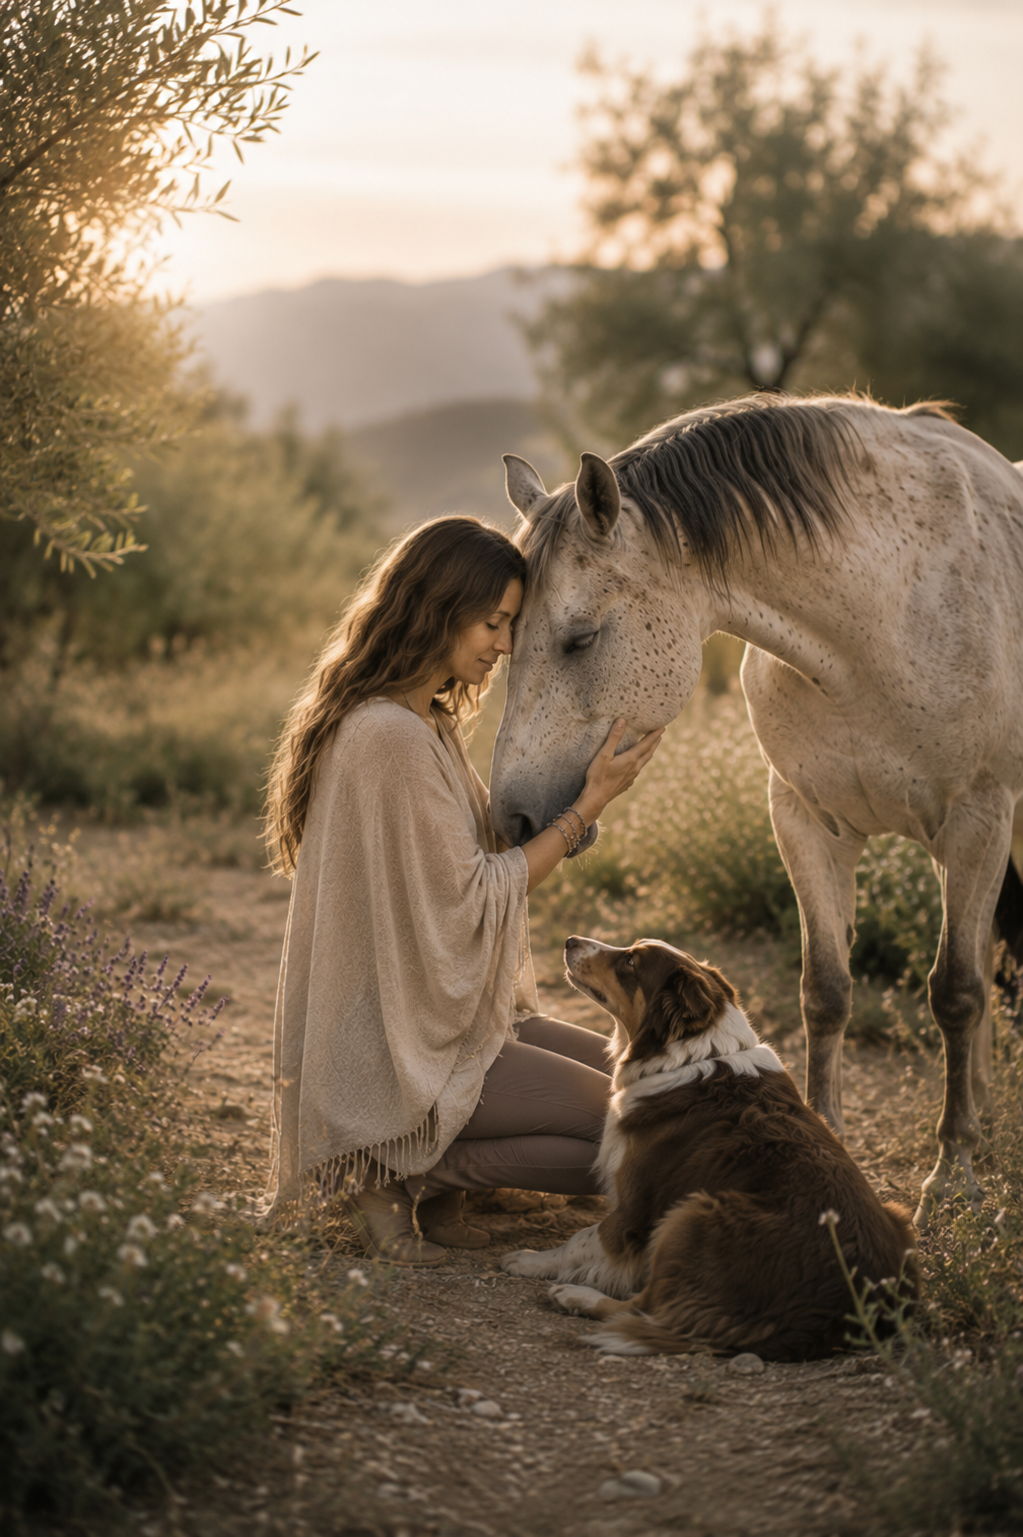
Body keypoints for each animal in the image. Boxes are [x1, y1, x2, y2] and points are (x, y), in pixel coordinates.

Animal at [489, 393, 1023, 1226]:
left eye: (578, 639)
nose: (510, 818)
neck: (883, 617)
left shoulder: (975, 821)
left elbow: (955, 991)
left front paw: (952, 1177)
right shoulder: (803, 821)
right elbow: (825, 990)